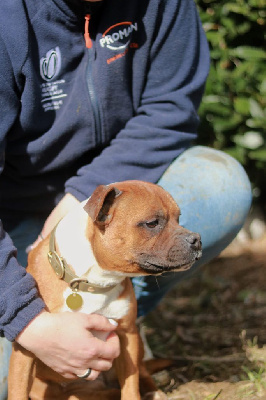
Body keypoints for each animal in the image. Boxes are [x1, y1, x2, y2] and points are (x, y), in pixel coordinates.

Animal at [7, 182, 202, 400]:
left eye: (178, 219)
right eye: (152, 223)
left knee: (141, 373)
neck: (93, 282)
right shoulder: (25, 351)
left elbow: (131, 383)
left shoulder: (128, 336)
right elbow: (18, 390)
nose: (196, 239)